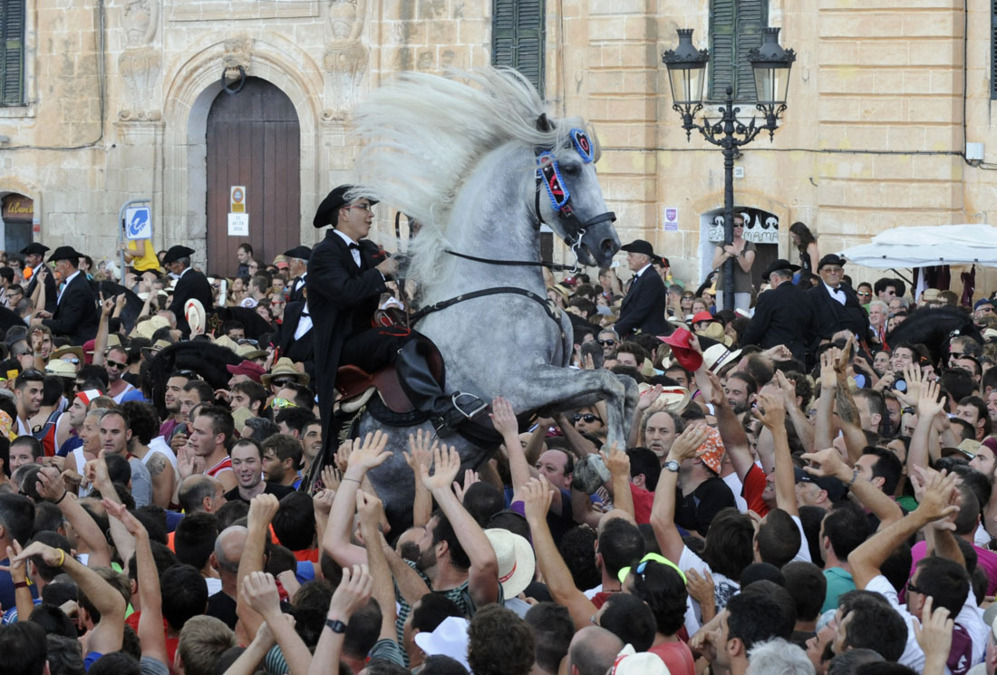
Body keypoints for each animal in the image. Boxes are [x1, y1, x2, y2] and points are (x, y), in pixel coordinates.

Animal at [342, 67, 640, 524]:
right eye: (570, 169)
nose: (607, 244)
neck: (490, 280)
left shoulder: (551, 386)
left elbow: (624, 384)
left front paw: (602, 462)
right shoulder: (520, 385)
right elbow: (609, 380)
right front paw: (606, 461)